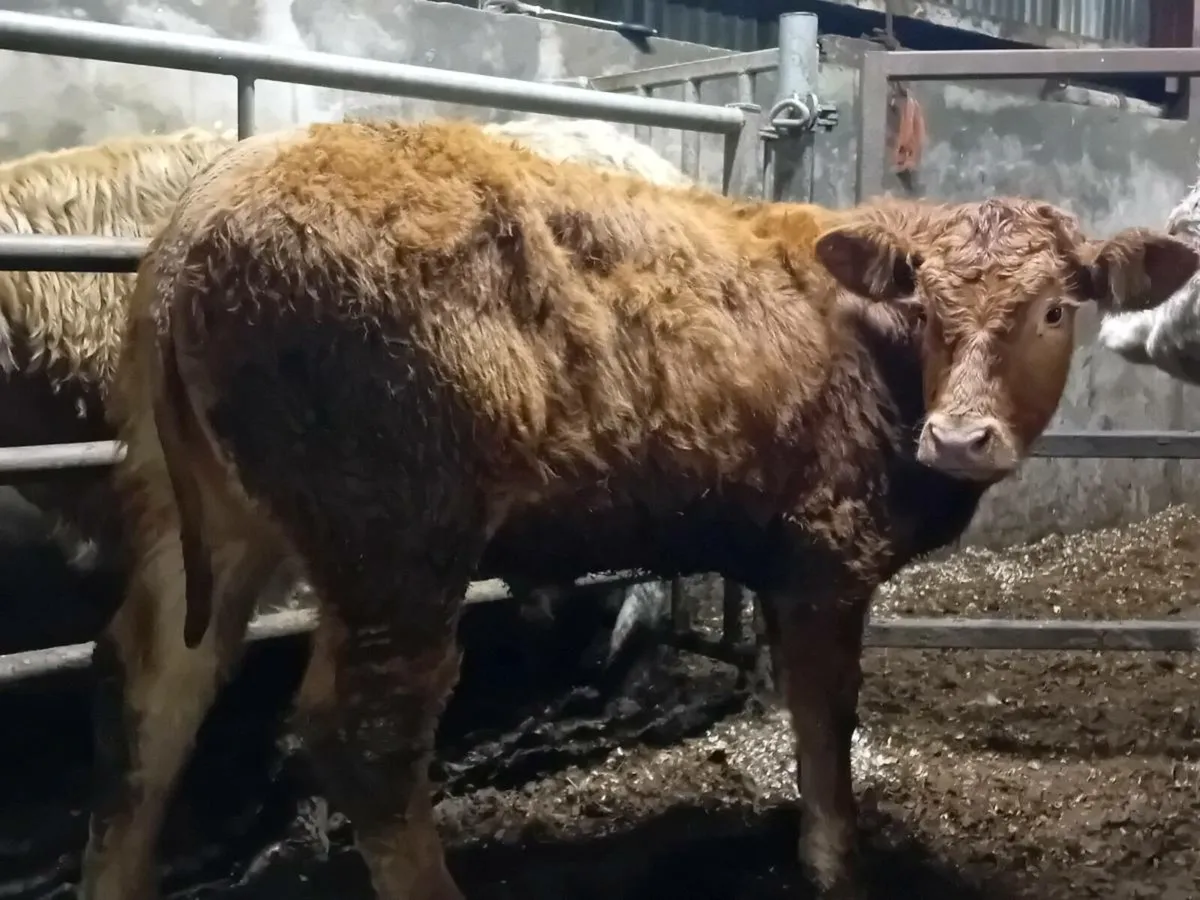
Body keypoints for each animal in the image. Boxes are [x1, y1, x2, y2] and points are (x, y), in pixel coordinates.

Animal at [77, 118, 1197, 900]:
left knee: (155, 688)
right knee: (365, 736)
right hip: (396, 535)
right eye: (926, 303)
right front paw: (837, 862)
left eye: (1056, 308)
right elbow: (826, 720)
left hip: (203, 516)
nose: (960, 438)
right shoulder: (828, 554)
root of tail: (208, 206)